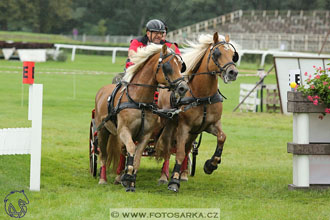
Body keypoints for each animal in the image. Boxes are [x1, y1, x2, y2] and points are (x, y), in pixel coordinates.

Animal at [94, 43, 188, 191]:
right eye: (168, 66)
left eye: (181, 65)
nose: (183, 88)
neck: (139, 101)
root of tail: (103, 90)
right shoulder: (124, 131)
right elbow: (131, 149)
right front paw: (126, 177)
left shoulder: (145, 135)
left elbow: (136, 158)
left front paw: (131, 182)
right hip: (103, 130)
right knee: (104, 155)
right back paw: (103, 179)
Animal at [156, 31, 238, 192]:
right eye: (217, 53)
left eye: (233, 55)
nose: (233, 72)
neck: (202, 96)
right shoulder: (183, 127)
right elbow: (179, 153)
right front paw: (173, 181)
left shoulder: (210, 125)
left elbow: (222, 137)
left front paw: (211, 164)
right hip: (170, 126)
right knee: (168, 149)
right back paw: (164, 176)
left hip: (193, 133)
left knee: (187, 149)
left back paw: (183, 174)